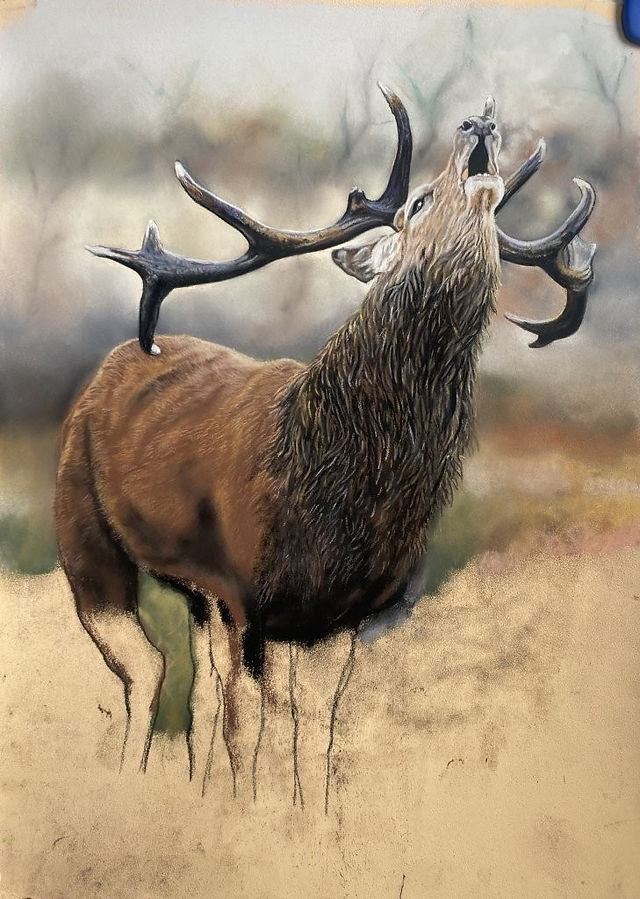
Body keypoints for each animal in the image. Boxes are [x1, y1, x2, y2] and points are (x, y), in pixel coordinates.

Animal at [55, 87, 596, 804]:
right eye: (419, 202)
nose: (478, 124)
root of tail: (107, 367)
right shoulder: (243, 592)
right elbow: (249, 729)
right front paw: (245, 814)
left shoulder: (340, 615)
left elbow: (314, 732)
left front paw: (302, 819)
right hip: (81, 524)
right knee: (149, 667)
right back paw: (132, 786)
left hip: (195, 592)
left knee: (195, 678)